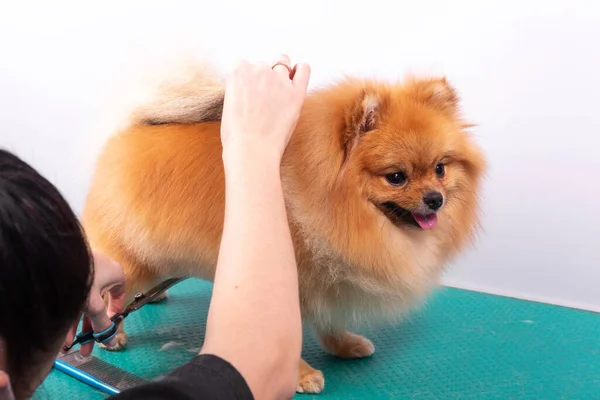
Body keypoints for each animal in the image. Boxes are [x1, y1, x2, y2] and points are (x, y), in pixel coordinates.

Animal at [82, 60, 488, 394]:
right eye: (397, 177)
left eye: (440, 168)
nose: (435, 199)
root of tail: (130, 130)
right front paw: (302, 374)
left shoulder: (327, 279)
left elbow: (329, 321)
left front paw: (345, 344)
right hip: (131, 253)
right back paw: (110, 334)